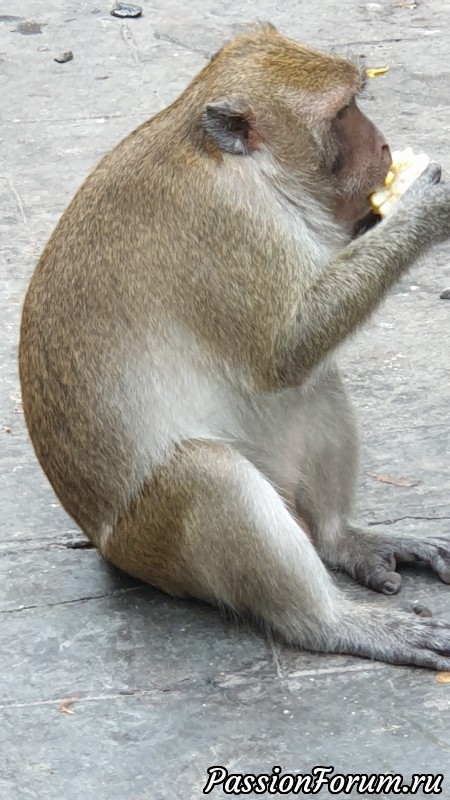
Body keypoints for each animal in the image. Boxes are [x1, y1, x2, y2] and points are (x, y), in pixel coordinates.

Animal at [19, 24, 450, 669]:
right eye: (343, 112)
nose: (382, 146)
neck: (242, 165)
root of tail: (106, 545)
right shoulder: (228, 226)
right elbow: (286, 351)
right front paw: (428, 204)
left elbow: (298, 360)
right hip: (155, 544)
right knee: (208, 473)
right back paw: (333, 623)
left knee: (319, 386)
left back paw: (340, 540)